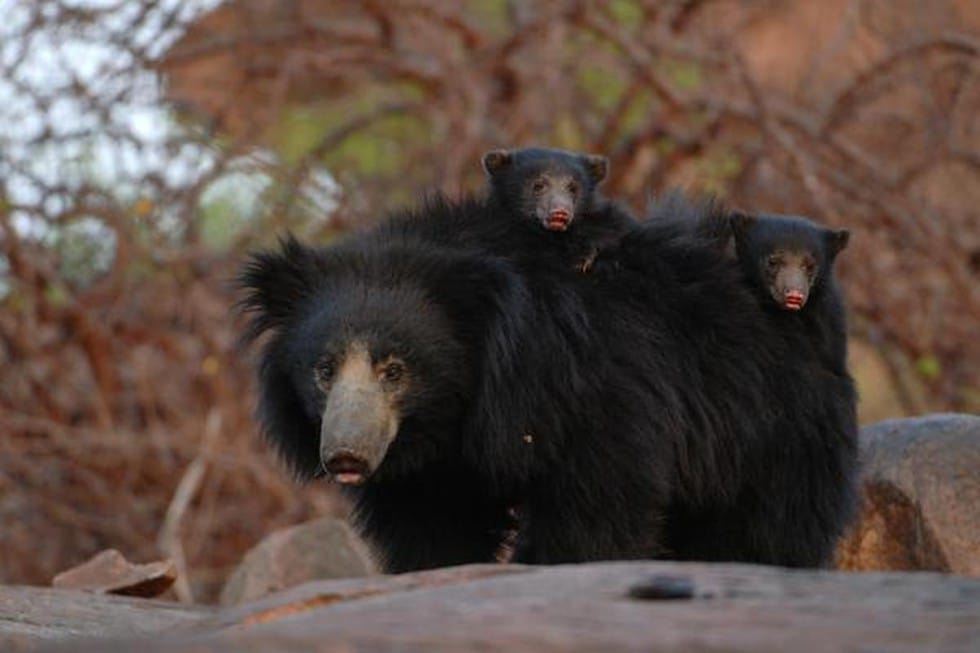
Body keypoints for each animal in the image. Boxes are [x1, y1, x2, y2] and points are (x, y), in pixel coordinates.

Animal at [239, 192, 858, 571]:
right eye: (323, 370)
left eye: (396, 370)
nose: (345, 454)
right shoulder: (432, 467)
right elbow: (433, 527)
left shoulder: (594, 390)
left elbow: (597, 504)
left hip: (774, 426)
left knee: (768, 527)